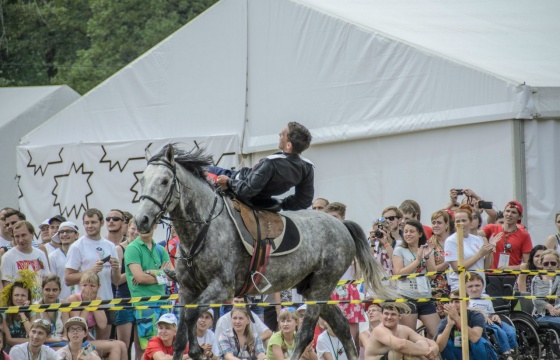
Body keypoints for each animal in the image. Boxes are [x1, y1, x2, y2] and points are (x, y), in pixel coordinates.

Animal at [135, 145, 394, 360]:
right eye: (143, 180)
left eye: (165, 181)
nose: (141, 220)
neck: (204, 229)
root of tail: (341, 225)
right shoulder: (188, 289)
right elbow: (179, 339)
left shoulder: (221, 287)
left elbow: (190, 317)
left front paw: (198, 351)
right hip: (313, 289)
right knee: (340, 325)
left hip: (321, 286)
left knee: (305, 334)